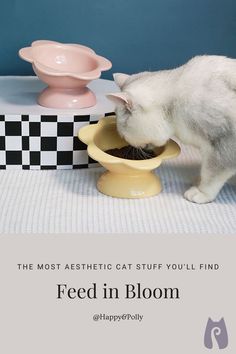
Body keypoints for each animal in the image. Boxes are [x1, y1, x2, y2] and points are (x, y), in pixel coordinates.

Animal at [107, 56, 236, 203]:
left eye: (123, 135)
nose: (127, 143)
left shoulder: (223, 145)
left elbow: (211, 175)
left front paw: (202, 192)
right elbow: (205, 171)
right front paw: (199, 181)